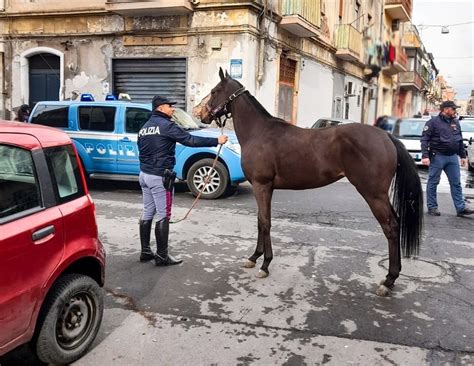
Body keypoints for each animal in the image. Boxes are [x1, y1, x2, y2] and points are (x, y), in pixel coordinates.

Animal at [200, 69, 422, 298]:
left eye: (214, 91)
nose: (202, 115)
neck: (258, 132)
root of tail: (386, 136)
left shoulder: (262, 186)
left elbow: (265, 222)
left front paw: (265, 264)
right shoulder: (263, 188)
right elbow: (261, 222)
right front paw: (254, 257)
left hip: (373, 194)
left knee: (391, 227)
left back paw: (389, 280)